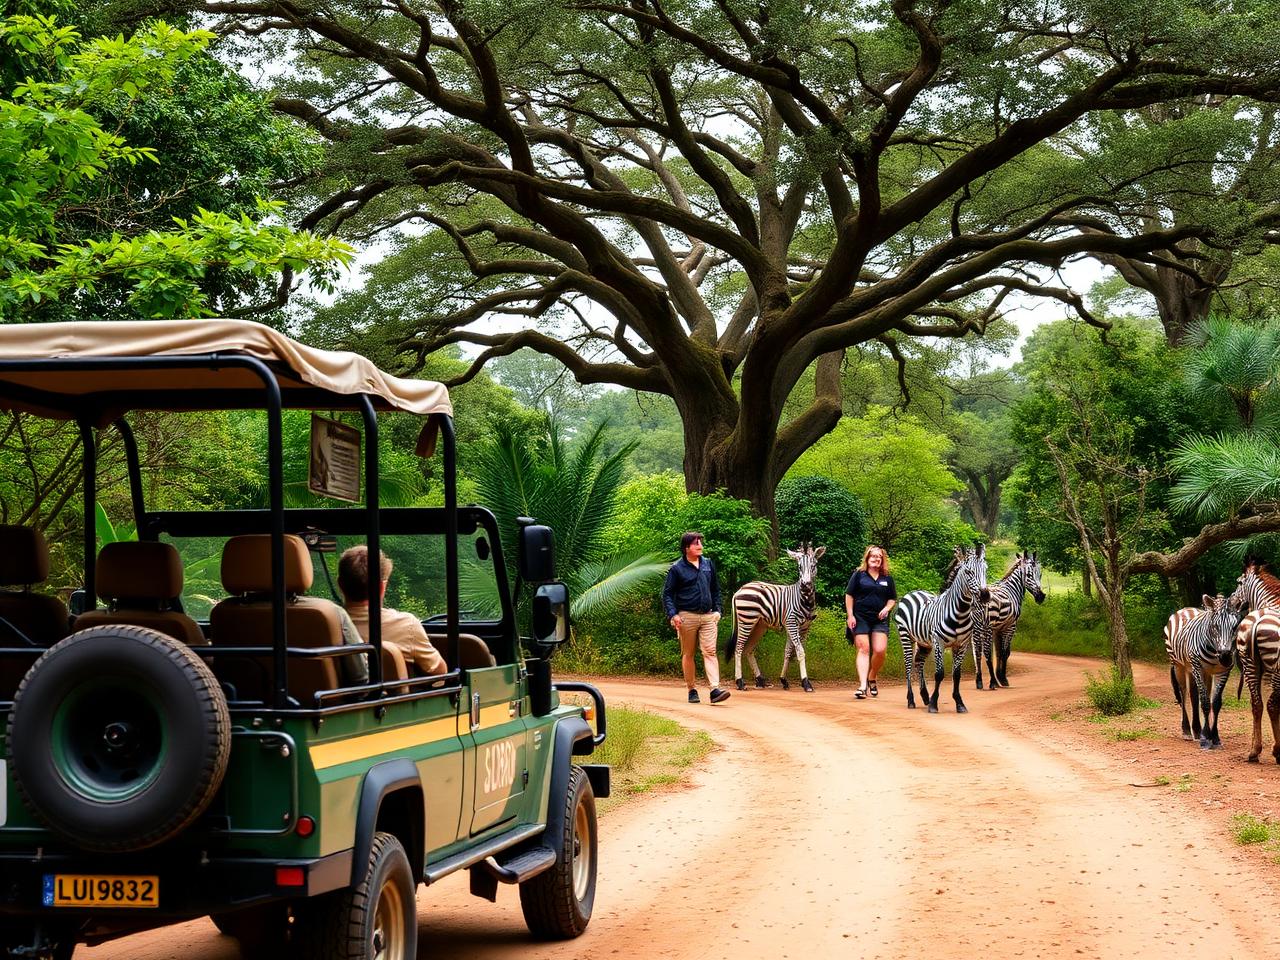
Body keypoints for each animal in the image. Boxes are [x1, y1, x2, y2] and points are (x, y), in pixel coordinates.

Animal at [725, 543, 825, 693]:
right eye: (799, 567)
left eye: (814, 565)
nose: (805, 585)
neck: (804, 599)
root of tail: (740, 589)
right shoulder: (791, 623)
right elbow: (800, 652)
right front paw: (806, 683)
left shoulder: (804, 627)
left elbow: (789, 652)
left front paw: (783, 680)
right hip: (747, 620)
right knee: (739, 648)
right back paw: (740, 682)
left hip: (759, 626)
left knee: (749, 649)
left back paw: (760, 679)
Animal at [894, 543, 989, 713]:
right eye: (968, 572)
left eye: (986, 569)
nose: (985, 596)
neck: (960, 612)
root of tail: (914, 592)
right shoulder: (939, 641)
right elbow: (939, 673)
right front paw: (933, 704)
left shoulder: (961, 644)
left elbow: (956, 674)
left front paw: (959, 703)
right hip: (905, 635)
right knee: (908, 665)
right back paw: (911, 700)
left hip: (924, 642)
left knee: (919, 662)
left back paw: (924, 696)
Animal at [973, 550, 1046, 690]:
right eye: (1029, 575)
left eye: (1040, 574)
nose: (1041, 597)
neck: (1012, 589)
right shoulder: (1011, 626)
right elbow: (1005, 652)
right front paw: (1003, 679)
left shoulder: (997, 629)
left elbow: (998, 653)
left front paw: (998, 677)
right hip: (986, 628)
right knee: (986, 652)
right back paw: (992, 683)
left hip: (975, 628)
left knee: (977, 652)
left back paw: (979, 682)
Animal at [1164, 594, 1238, 749]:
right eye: (1215, 626)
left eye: (1235, 626)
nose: (1225, 657)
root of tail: (1186, 609)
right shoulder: (1198, 667)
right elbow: (1204, 702)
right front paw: (1205, 738)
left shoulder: (1223, 672)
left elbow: (1215, 703)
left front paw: (1214, 737)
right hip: (1180, 665)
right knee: (1184, 693)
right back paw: (1187, 730)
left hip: (1197, 670)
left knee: (1193, 694)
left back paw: (1197, 730)